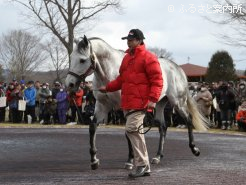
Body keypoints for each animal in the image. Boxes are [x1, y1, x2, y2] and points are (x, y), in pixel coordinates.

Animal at [65, 36, 208, 171]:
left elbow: (128, 132)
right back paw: (157, 156)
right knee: (163, 127)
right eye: (71, 57)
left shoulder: (125, 107)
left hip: (178, 102)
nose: (69, 84)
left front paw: (130, 161)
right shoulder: (102, 105)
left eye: (82, 60)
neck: (110, 72)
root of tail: (177, 68)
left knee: (188, 120)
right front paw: (94, 160)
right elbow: (93, 127)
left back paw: (194, 149)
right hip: (159, 104)